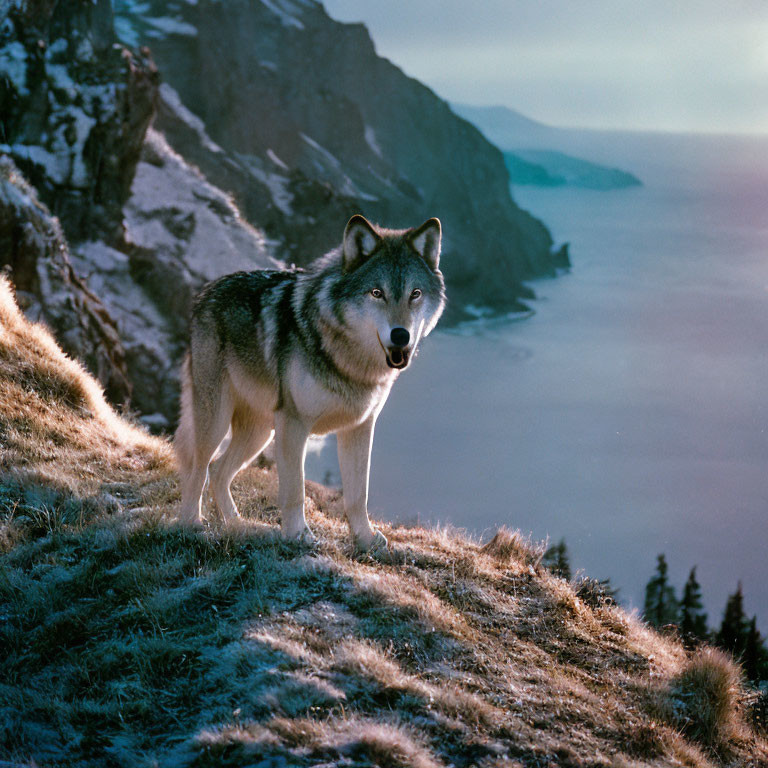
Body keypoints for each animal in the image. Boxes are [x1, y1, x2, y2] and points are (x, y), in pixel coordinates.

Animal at [175, 214, 448, 552]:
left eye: (415, 294)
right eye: (376, 293)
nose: (401, 335)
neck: (348, 359)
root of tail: (206, 291)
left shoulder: (360, 427)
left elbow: (358, 495)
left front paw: (365, 539)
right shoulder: (294, 424)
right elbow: (296, 491)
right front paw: (298, 535)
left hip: (260, 432)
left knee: (218, 471)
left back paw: (238, 525)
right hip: (219, 420)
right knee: (198, 468)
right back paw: (192, 524)